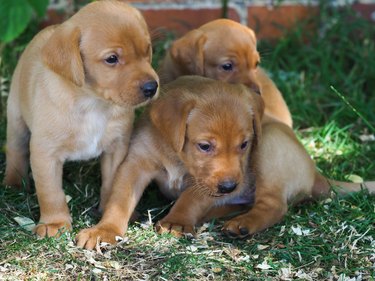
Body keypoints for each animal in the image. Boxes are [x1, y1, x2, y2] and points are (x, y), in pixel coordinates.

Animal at [4, 0, 160, 236]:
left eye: (147, 50)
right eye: (112, 59)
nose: (152, 87)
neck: (92, 102)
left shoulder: (117, 148)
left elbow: (112, 184)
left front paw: (109, 214)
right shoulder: (45, 153)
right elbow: (50, 192)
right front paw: (54, 223)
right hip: (16, 117)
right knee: (15, 150)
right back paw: (12, 182)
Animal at [76, 76, 375, 247]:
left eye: (244, 144)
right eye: (205, 146)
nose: (230, 187)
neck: (177, 156)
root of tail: (317, 174)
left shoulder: (207, 182)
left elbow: (191, 197)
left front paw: (177, 221)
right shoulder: (135, 164)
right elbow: (120, 199)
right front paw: (105, 230)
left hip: (270, 145)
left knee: (274, 205)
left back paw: (242, 224)